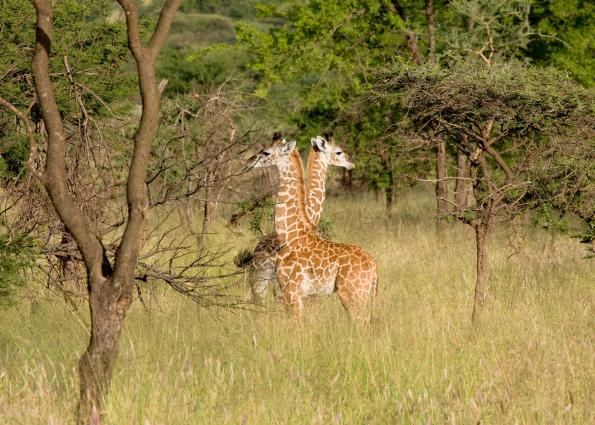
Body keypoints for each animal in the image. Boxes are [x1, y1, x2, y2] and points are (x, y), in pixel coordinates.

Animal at [246, 137, 378, 320]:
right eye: (338, 152)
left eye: (265, 152)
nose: (248, 162)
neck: (291, 233)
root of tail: (374, 267)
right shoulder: (298, 293)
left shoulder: (294, 292)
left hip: (351, 294)